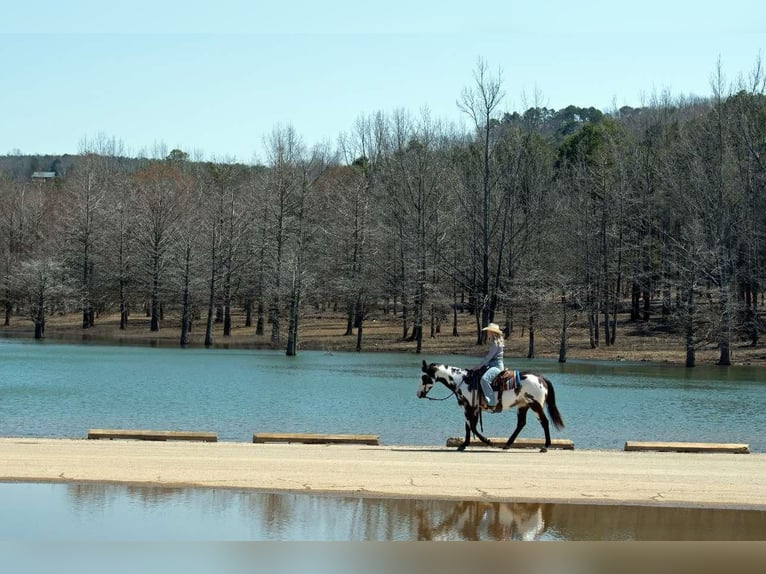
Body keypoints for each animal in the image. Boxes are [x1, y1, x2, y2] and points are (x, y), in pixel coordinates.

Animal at [416, 360, 565, 452]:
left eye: (424, 377)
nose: (418, 394)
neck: (463, 381)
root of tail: (541, 378)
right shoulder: (469, 408)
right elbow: (468, 427)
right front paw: (464, 445)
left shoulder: (471, 408)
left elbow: (473, 427)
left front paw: (488, 441)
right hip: (523, 406)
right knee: (521, 424)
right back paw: (507, 444)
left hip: (535, 405)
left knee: (544, 422)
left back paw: (545, 446)